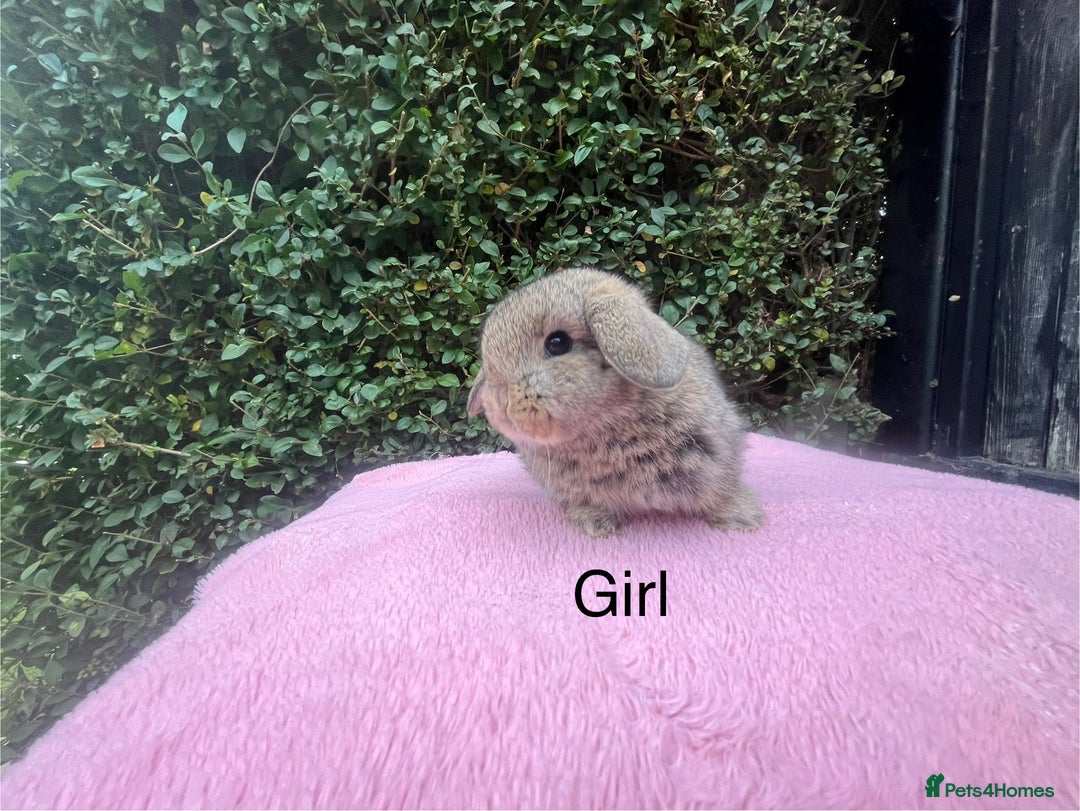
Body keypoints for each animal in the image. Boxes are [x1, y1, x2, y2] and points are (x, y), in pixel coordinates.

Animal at [466, 266, 763, 537]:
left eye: (558, 343)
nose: (501, 402)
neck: (605, 424)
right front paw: (595, 527)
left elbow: (722, 494)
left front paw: (744, 520)